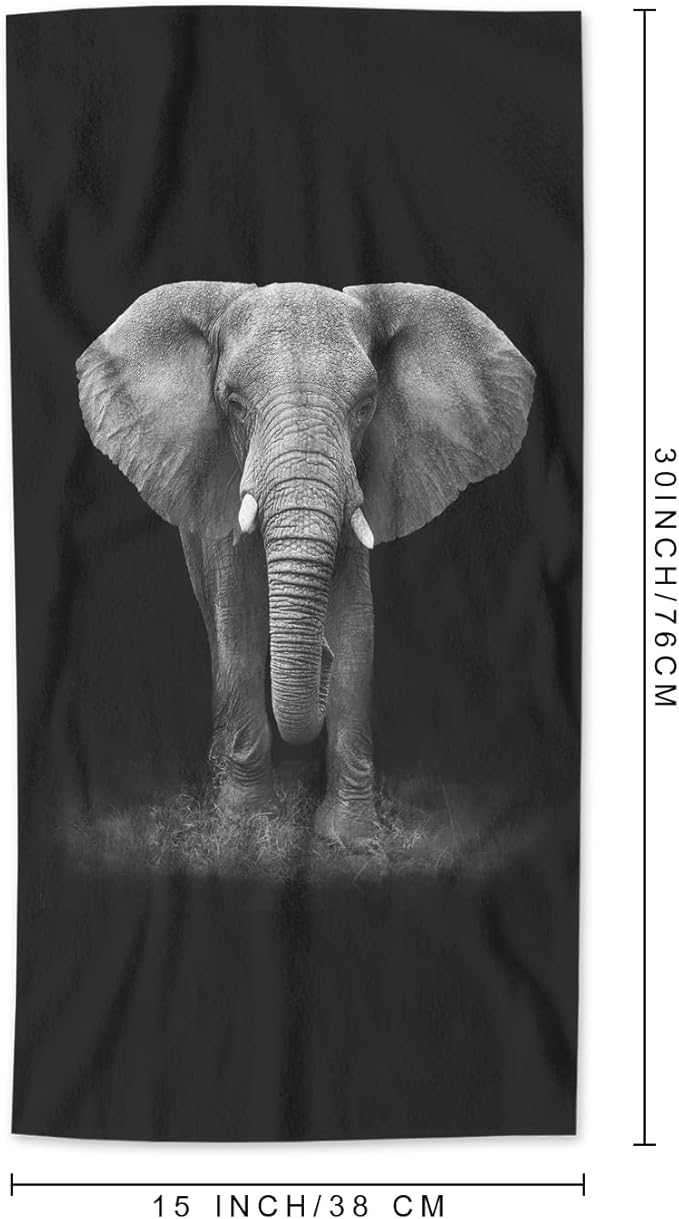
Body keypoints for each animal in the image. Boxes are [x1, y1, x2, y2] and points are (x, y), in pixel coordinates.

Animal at [76, 281, 535, 850]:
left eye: (366, 406)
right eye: (233, 403)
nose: (322, 658)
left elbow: (357, 624)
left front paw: (351, 839)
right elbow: (239, 620)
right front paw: (246, 825)